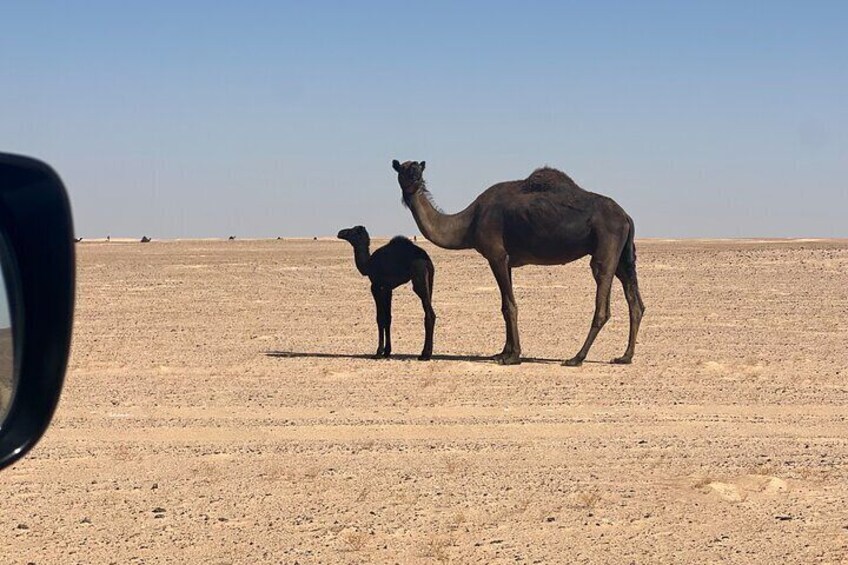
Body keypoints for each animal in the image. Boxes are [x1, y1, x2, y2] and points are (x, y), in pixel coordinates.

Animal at [336, 226, 438, 362]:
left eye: (351, 231)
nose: (340, 233)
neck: (368, 265)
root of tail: (427, 262)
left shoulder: (376, 286)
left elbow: (380, 318)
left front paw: (378, 352)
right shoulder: (388, 288)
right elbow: (388, 318)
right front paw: (387, 351)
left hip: (419, 277)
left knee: (429, 313)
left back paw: (424, 355)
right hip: (430, 280)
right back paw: (427, 353)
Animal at [390, 159, 644, 366]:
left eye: (418, 169)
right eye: (404, 170)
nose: (415, 181)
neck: (469, 223)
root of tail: (626, 216)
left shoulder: (496, 255)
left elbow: (509, 306)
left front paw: (513, 357)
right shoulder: (507, 261)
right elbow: (505, 304)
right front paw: (503, 352)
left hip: (606, 246)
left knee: (602, 301)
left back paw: (576, 358)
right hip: (623, 256)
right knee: (635, 302)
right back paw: (625, 356)